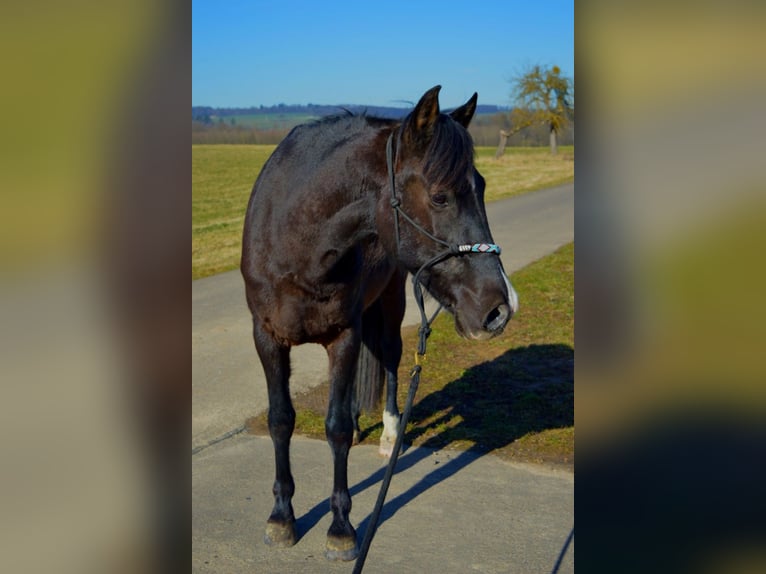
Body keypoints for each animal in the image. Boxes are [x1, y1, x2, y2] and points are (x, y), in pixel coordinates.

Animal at [243, 85, 520, 564]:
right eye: (440, 196)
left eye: (482, 186)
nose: (498, 310)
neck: (295, 242)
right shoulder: (268, 337)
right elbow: (281, 420)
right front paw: (281, 517)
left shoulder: (345, 335)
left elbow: (334, 427)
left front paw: (340, 528)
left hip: (389, 307)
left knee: (390, 362)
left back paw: (390, 432)